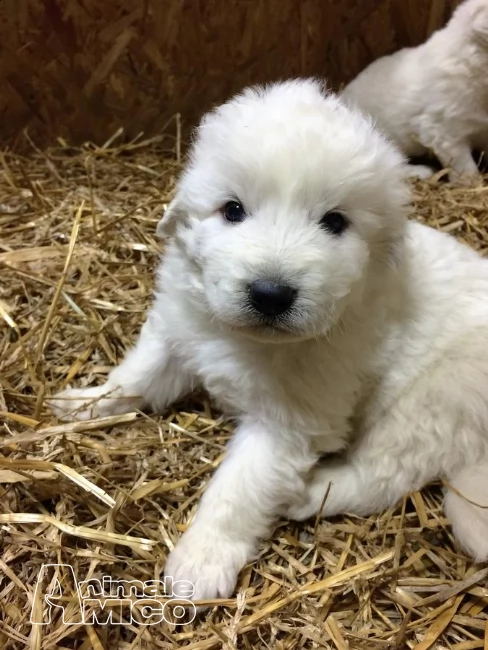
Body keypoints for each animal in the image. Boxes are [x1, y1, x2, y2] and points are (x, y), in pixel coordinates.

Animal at [50, 78, 488, 600]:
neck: (247, 341)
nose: (271, 294)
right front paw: (83, 404)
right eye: (233, 210)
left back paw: (307, 495)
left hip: (430, 403)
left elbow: (237, 491)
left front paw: (200, 563)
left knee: (383, 475)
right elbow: (135, 376)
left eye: (335, 221)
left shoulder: (287, 426)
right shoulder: (178, 332)